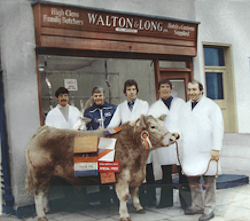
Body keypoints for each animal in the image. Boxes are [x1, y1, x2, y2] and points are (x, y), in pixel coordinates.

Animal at [25, 115, 177, 220]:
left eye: (163, 124)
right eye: (152, 127)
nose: (172, 138)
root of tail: (44, 129)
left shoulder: (136, 174)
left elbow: (135, 191)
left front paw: (139, 207)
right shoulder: (122, 176)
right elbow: (124, 195)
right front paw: (124, 215)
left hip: (48, 175)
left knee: (45, 192)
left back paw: (46, 210)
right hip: (40, 173)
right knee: (38, 193)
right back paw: (41, 216)